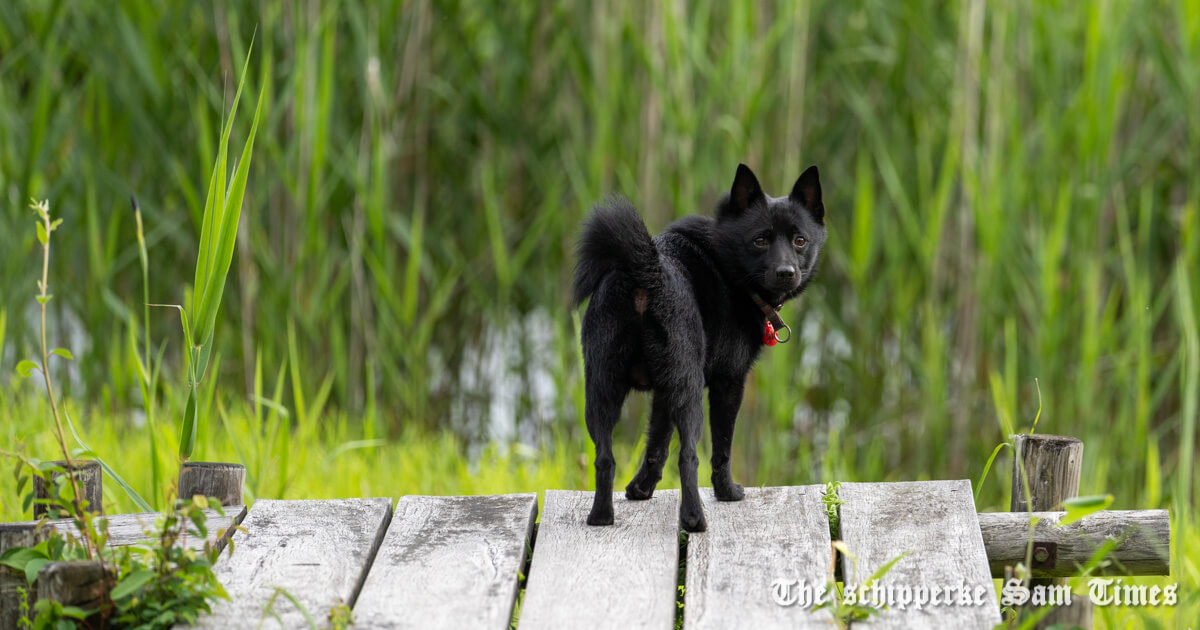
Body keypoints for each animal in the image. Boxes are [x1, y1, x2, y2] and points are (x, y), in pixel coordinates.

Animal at [571, 163, 825, 530]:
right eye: (760, 240)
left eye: (799, 240)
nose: (786, 272)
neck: (726, 262)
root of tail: (645, 274)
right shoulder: (728, 383)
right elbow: (722, 447)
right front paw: (728, 492)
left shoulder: (664, 392)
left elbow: (656, 443)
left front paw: (640, 489)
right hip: (689, 392)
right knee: (688, 456)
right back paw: (694, 519)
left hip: (602, 389)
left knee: (605, 457)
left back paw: (601, 516)